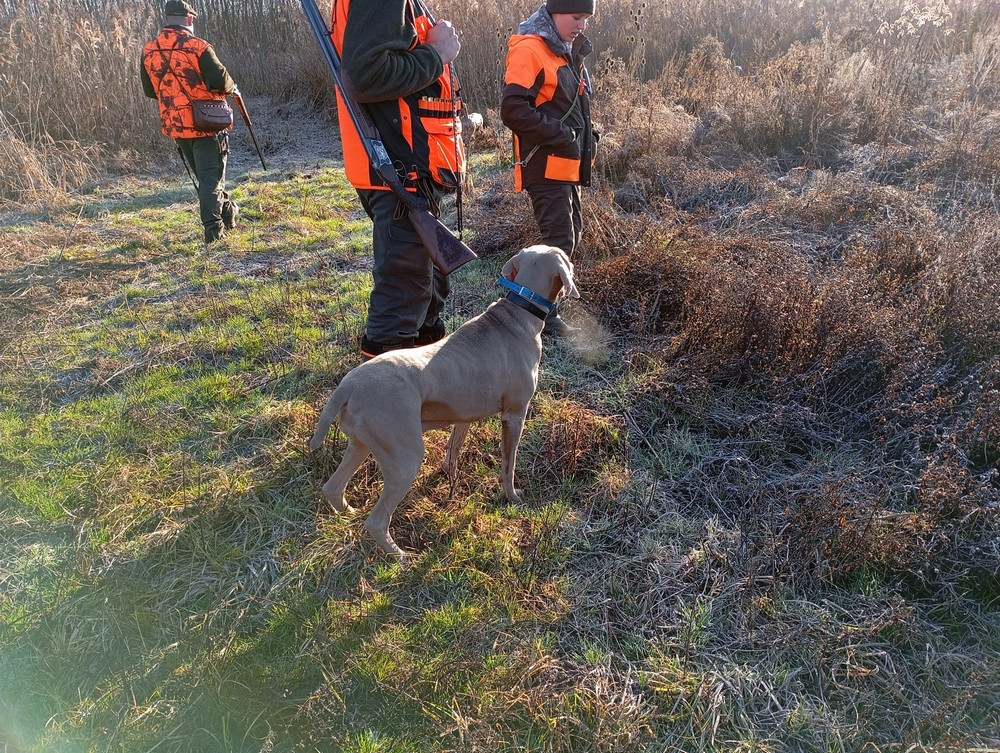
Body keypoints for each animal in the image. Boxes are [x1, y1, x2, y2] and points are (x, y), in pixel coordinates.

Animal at [309, 245, 579, 557]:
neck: (519, 309)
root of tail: (348, 385)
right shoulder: (514, 415)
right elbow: (508, 464)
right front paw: (512, 496)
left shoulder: (465, 414)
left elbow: (454, 448)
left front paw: (452, 476)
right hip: (405, 457)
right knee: (376, 520)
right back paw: (401, 556)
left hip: (361, 444)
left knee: (332, 488)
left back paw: (349, 513)